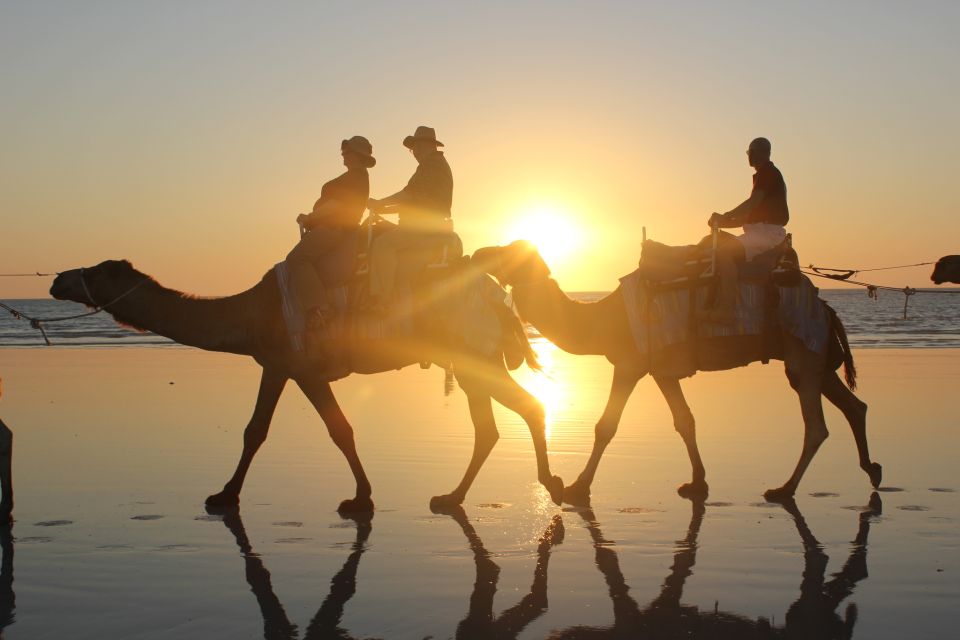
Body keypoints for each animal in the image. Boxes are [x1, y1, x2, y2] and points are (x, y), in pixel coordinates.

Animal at [50, 258, 564, 512]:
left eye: (94, 270)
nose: (57, 280)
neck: (247, 312)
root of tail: (499, 297)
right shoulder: (275, 365)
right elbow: (254, 431)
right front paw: (226, 494)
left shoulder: (303, 368)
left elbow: (339, 430)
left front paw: (360, 500)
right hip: (473, 357)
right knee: (489, 427)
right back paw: (452, 497)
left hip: (476, 352)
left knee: (528, 407)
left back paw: (550, 485)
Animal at [468, 241, 880, 504]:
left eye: (507, 251)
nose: (477, 254)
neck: (603, 319)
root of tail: (827, 309)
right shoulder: (662, 370)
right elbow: (685, 421)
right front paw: (697, 483)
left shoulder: (630, 363)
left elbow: (606, 426)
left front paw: (577, 487)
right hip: (813, 357)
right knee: (853, 406)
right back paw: (872, 469)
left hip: (803, 351)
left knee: (816, 426)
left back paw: (784, 489)